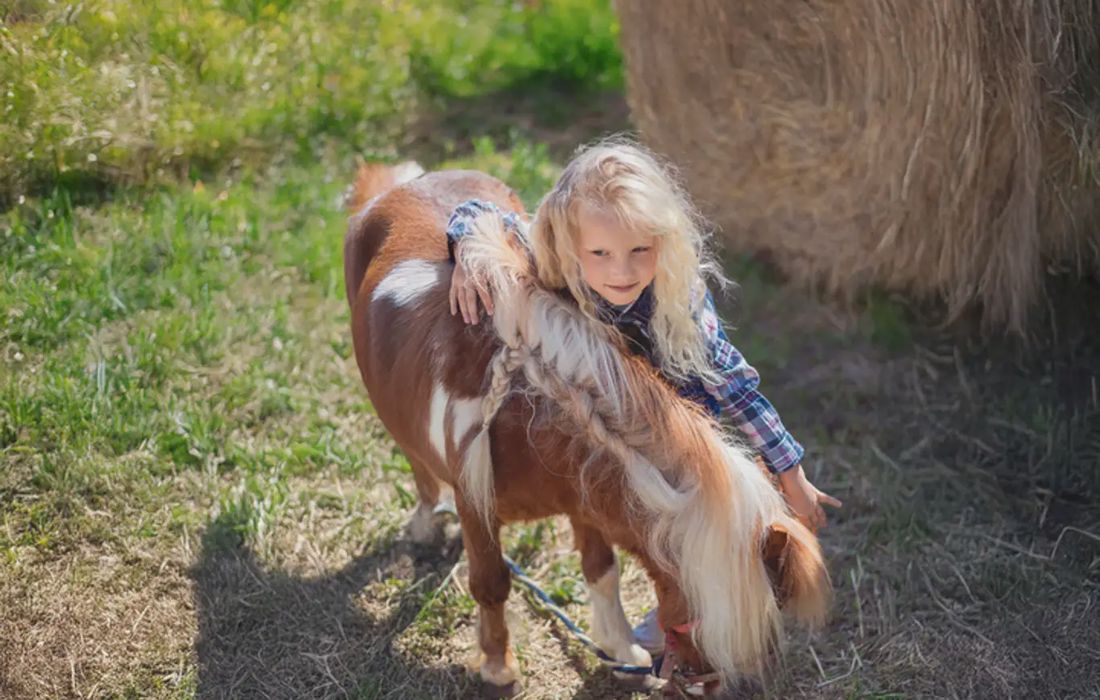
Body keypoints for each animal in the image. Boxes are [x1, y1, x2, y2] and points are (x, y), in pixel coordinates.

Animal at [342, 162, 830, 695]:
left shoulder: (588, 497)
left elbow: (602, 572)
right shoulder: (477, 504)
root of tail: (403, 184)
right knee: (417, 466)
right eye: (703, 615)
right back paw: (425, 524)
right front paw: (497, 665)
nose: (704, 684)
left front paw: (622, 650)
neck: (524, 409)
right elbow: (491, 581)